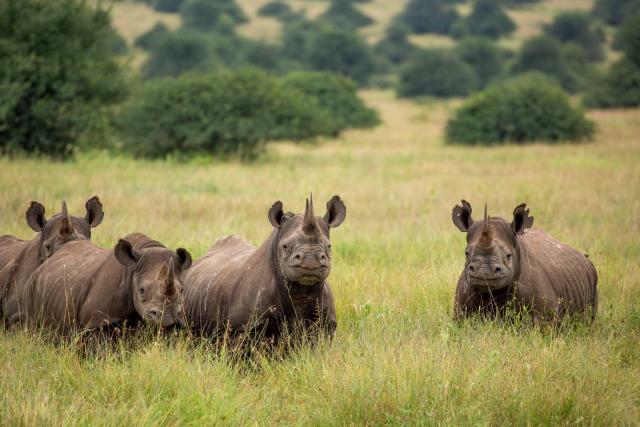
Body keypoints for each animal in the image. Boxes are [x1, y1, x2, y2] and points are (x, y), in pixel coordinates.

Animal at [183, 195, 346, 344]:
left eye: (329, 246)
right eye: (285, 246)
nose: (310, 260)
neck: (302, 293)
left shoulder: (326, 325)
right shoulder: (242, 329)